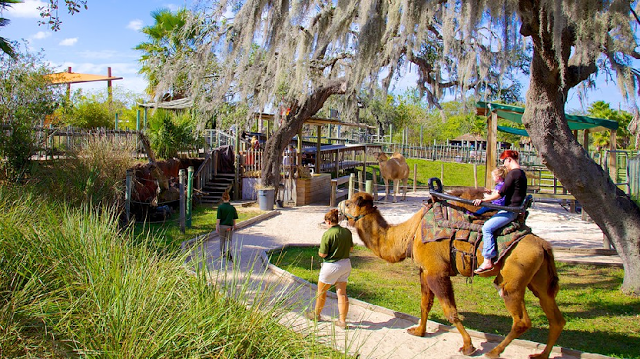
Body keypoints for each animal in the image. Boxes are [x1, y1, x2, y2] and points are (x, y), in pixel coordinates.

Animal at [342, 193, 568, 358]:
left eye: (349, 203)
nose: (338, 205)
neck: (411, 233)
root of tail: (544, 246)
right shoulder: (425, 270)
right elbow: (425, 304)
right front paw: (419, 331)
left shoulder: (437, 272)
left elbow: (450, 311)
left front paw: (468, 346)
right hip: (537, 280)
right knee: (555, 316)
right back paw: (540, 355)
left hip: (512, 280)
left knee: (521, 320)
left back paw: (494, 352)